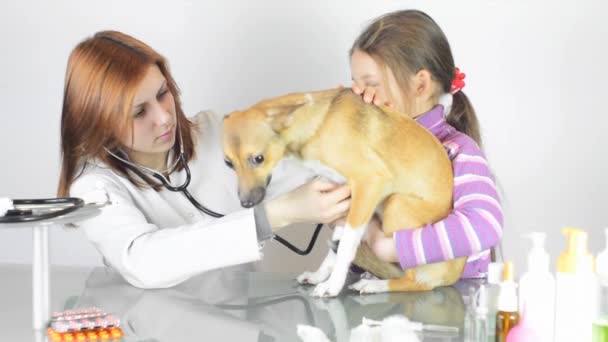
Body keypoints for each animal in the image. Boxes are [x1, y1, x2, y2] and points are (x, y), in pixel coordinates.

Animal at [223, 87, 466, 296]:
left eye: (258, 158)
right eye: (228, 163)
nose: (246, 204)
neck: (318, 125)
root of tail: (454, 273)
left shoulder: (369, 183)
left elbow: (346, 246)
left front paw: (333, 286)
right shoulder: (346, 197)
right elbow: (337, 248)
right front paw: (321, 277)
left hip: (396, 204)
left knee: (416, 281)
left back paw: (375, 285)